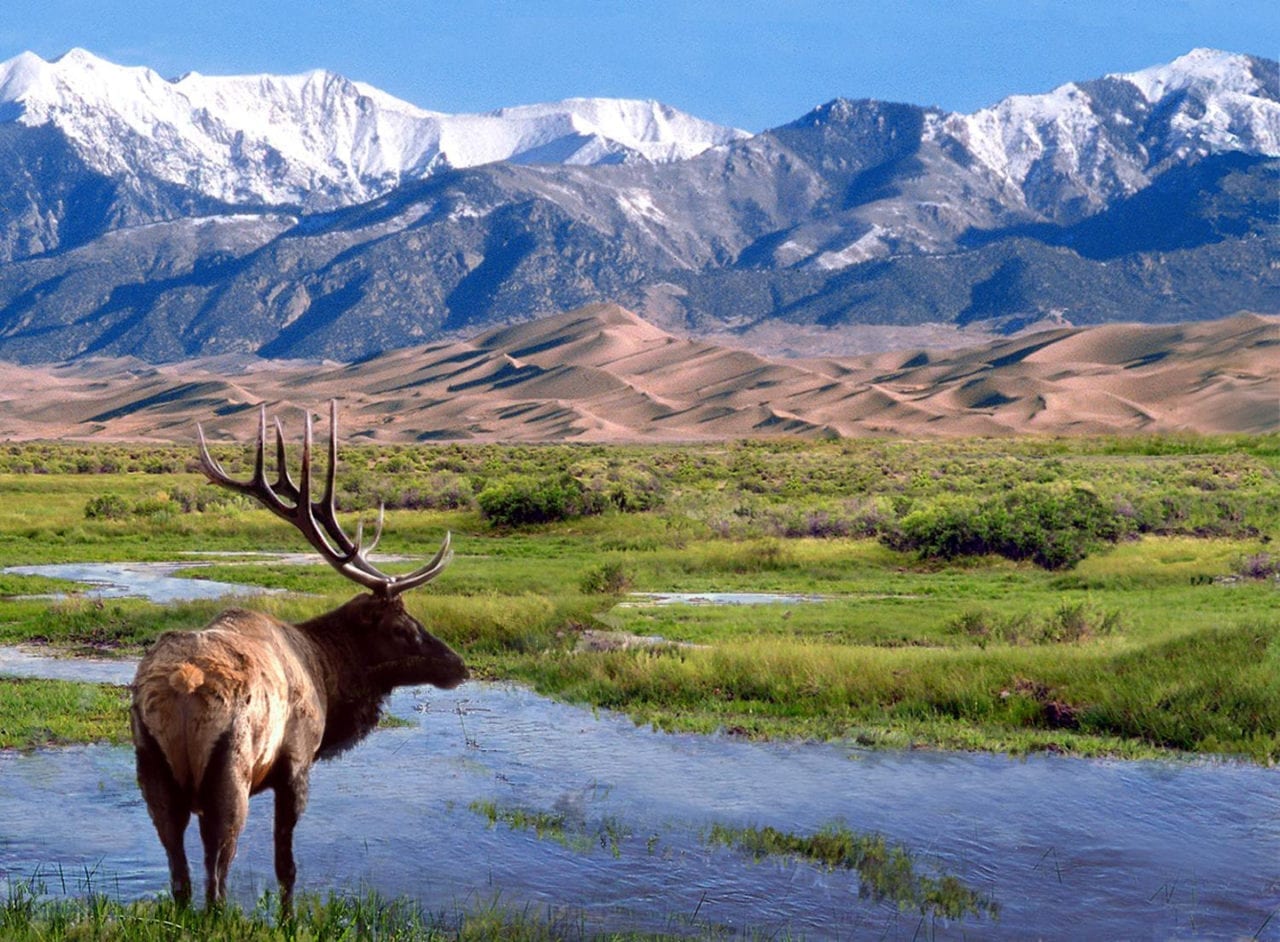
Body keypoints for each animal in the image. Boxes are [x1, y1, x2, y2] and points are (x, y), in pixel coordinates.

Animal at [129, 401, 468, 911]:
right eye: (401, 628)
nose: (458, 666)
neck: (327, 674)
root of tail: (181, 688)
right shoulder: (296, 762)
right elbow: (285, 866)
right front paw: (291, 916)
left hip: (151, 766)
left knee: (180, 876)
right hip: (229, 772)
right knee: (216, 879)